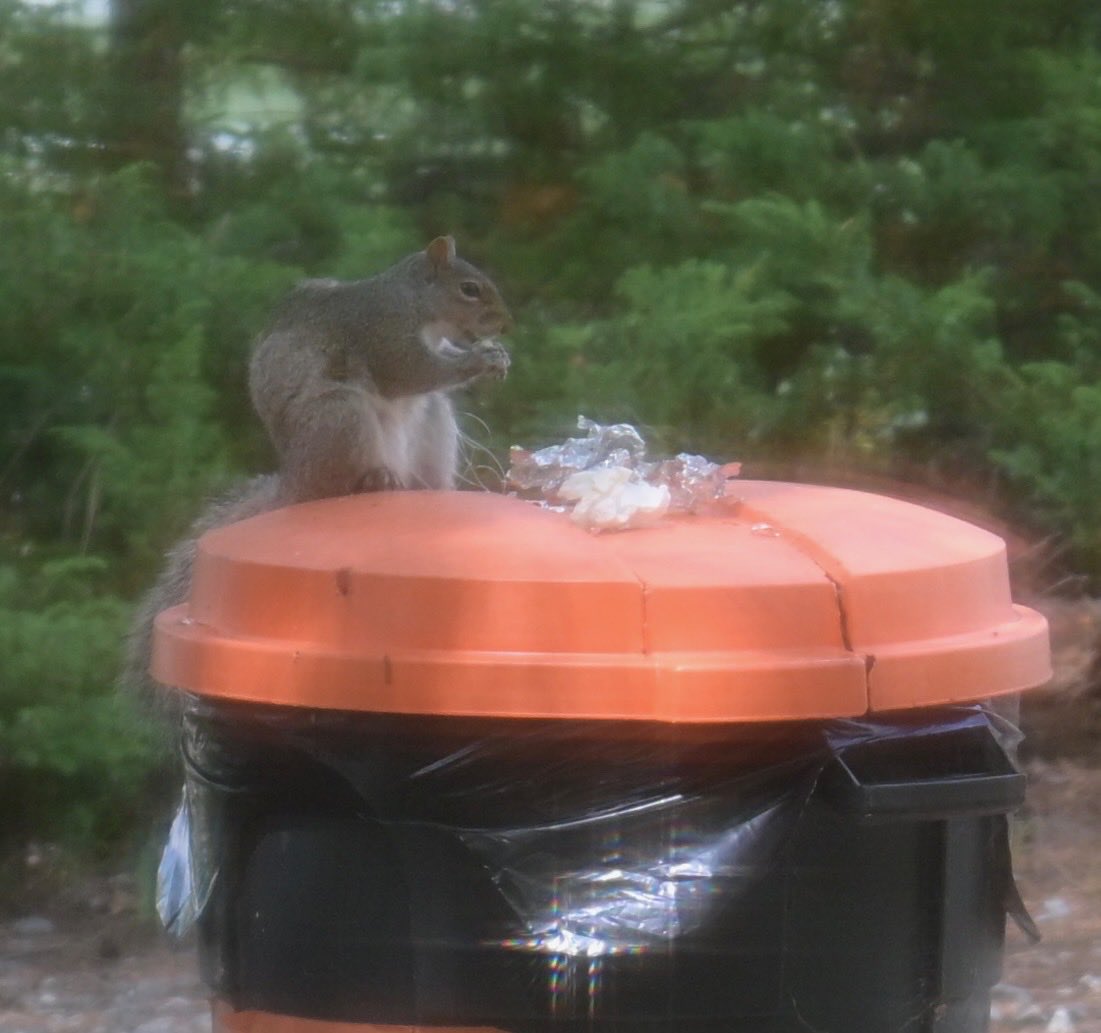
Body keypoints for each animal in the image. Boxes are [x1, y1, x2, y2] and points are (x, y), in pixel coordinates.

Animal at [123, 235, 513, 727]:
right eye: (469, 289)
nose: (505, 326)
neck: (411, 301)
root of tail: (296, 481)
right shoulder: (384, 336)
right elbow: (415, 372)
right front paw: (482, 358)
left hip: (432, 421)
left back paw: (434, 488)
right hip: (341, 417)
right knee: (343, 480)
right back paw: (378, 480)